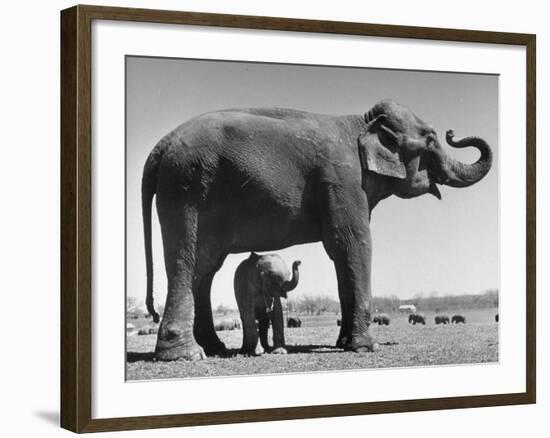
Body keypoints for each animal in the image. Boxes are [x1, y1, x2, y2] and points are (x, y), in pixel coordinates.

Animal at [143, 99, 496, 360]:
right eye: (430, 139)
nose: (452, 132)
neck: (361, 122)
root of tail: (160, 146)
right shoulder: (342, 180)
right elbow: (354, 244)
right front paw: (365, 347)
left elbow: (341, 254)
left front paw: (344, 344)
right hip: (186, 189)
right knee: (187, 261)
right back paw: (186, 355)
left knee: (206, 268)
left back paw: (214, 348)